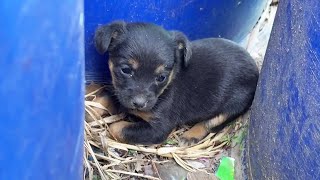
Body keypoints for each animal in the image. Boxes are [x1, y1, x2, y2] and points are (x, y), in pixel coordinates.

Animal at [94, 20, 258, 145]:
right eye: (126, 70)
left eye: (161, 78)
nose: (139, 104)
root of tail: (256, 68)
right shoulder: (120, 94)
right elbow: (104, 98)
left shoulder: (159, 129)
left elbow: (117, 128)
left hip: (234, 105)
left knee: (211, 122)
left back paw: (190, 135)